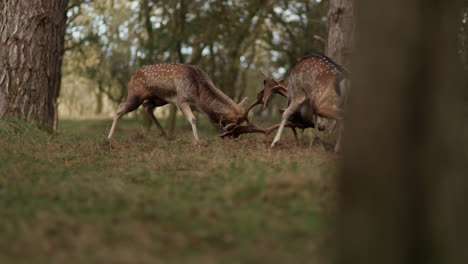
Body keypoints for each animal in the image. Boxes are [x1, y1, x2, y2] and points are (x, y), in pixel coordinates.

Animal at [106, 63, 256, 142]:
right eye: (228, 125)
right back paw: (109, 138)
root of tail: (131, 77)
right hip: (135, 96)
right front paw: (197, 142)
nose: (232, 139)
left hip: (159, 99)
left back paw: (167, 136)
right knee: (120, 107)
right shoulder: (181, 100)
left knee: (147, 106)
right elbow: (193, 119)